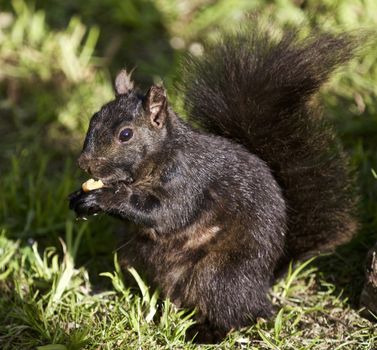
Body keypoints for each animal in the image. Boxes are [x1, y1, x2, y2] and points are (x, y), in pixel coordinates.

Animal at [68, 27, 358, 342]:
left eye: (125, 134)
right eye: (93, 119)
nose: (84, 163)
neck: (159, 156)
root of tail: (262, 285)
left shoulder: (188, 182)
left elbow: (165, 213)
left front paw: (107, 197)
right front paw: (80, 198)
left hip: (218, 274)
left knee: (235, 315)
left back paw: (203, 333)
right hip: (135, 256)